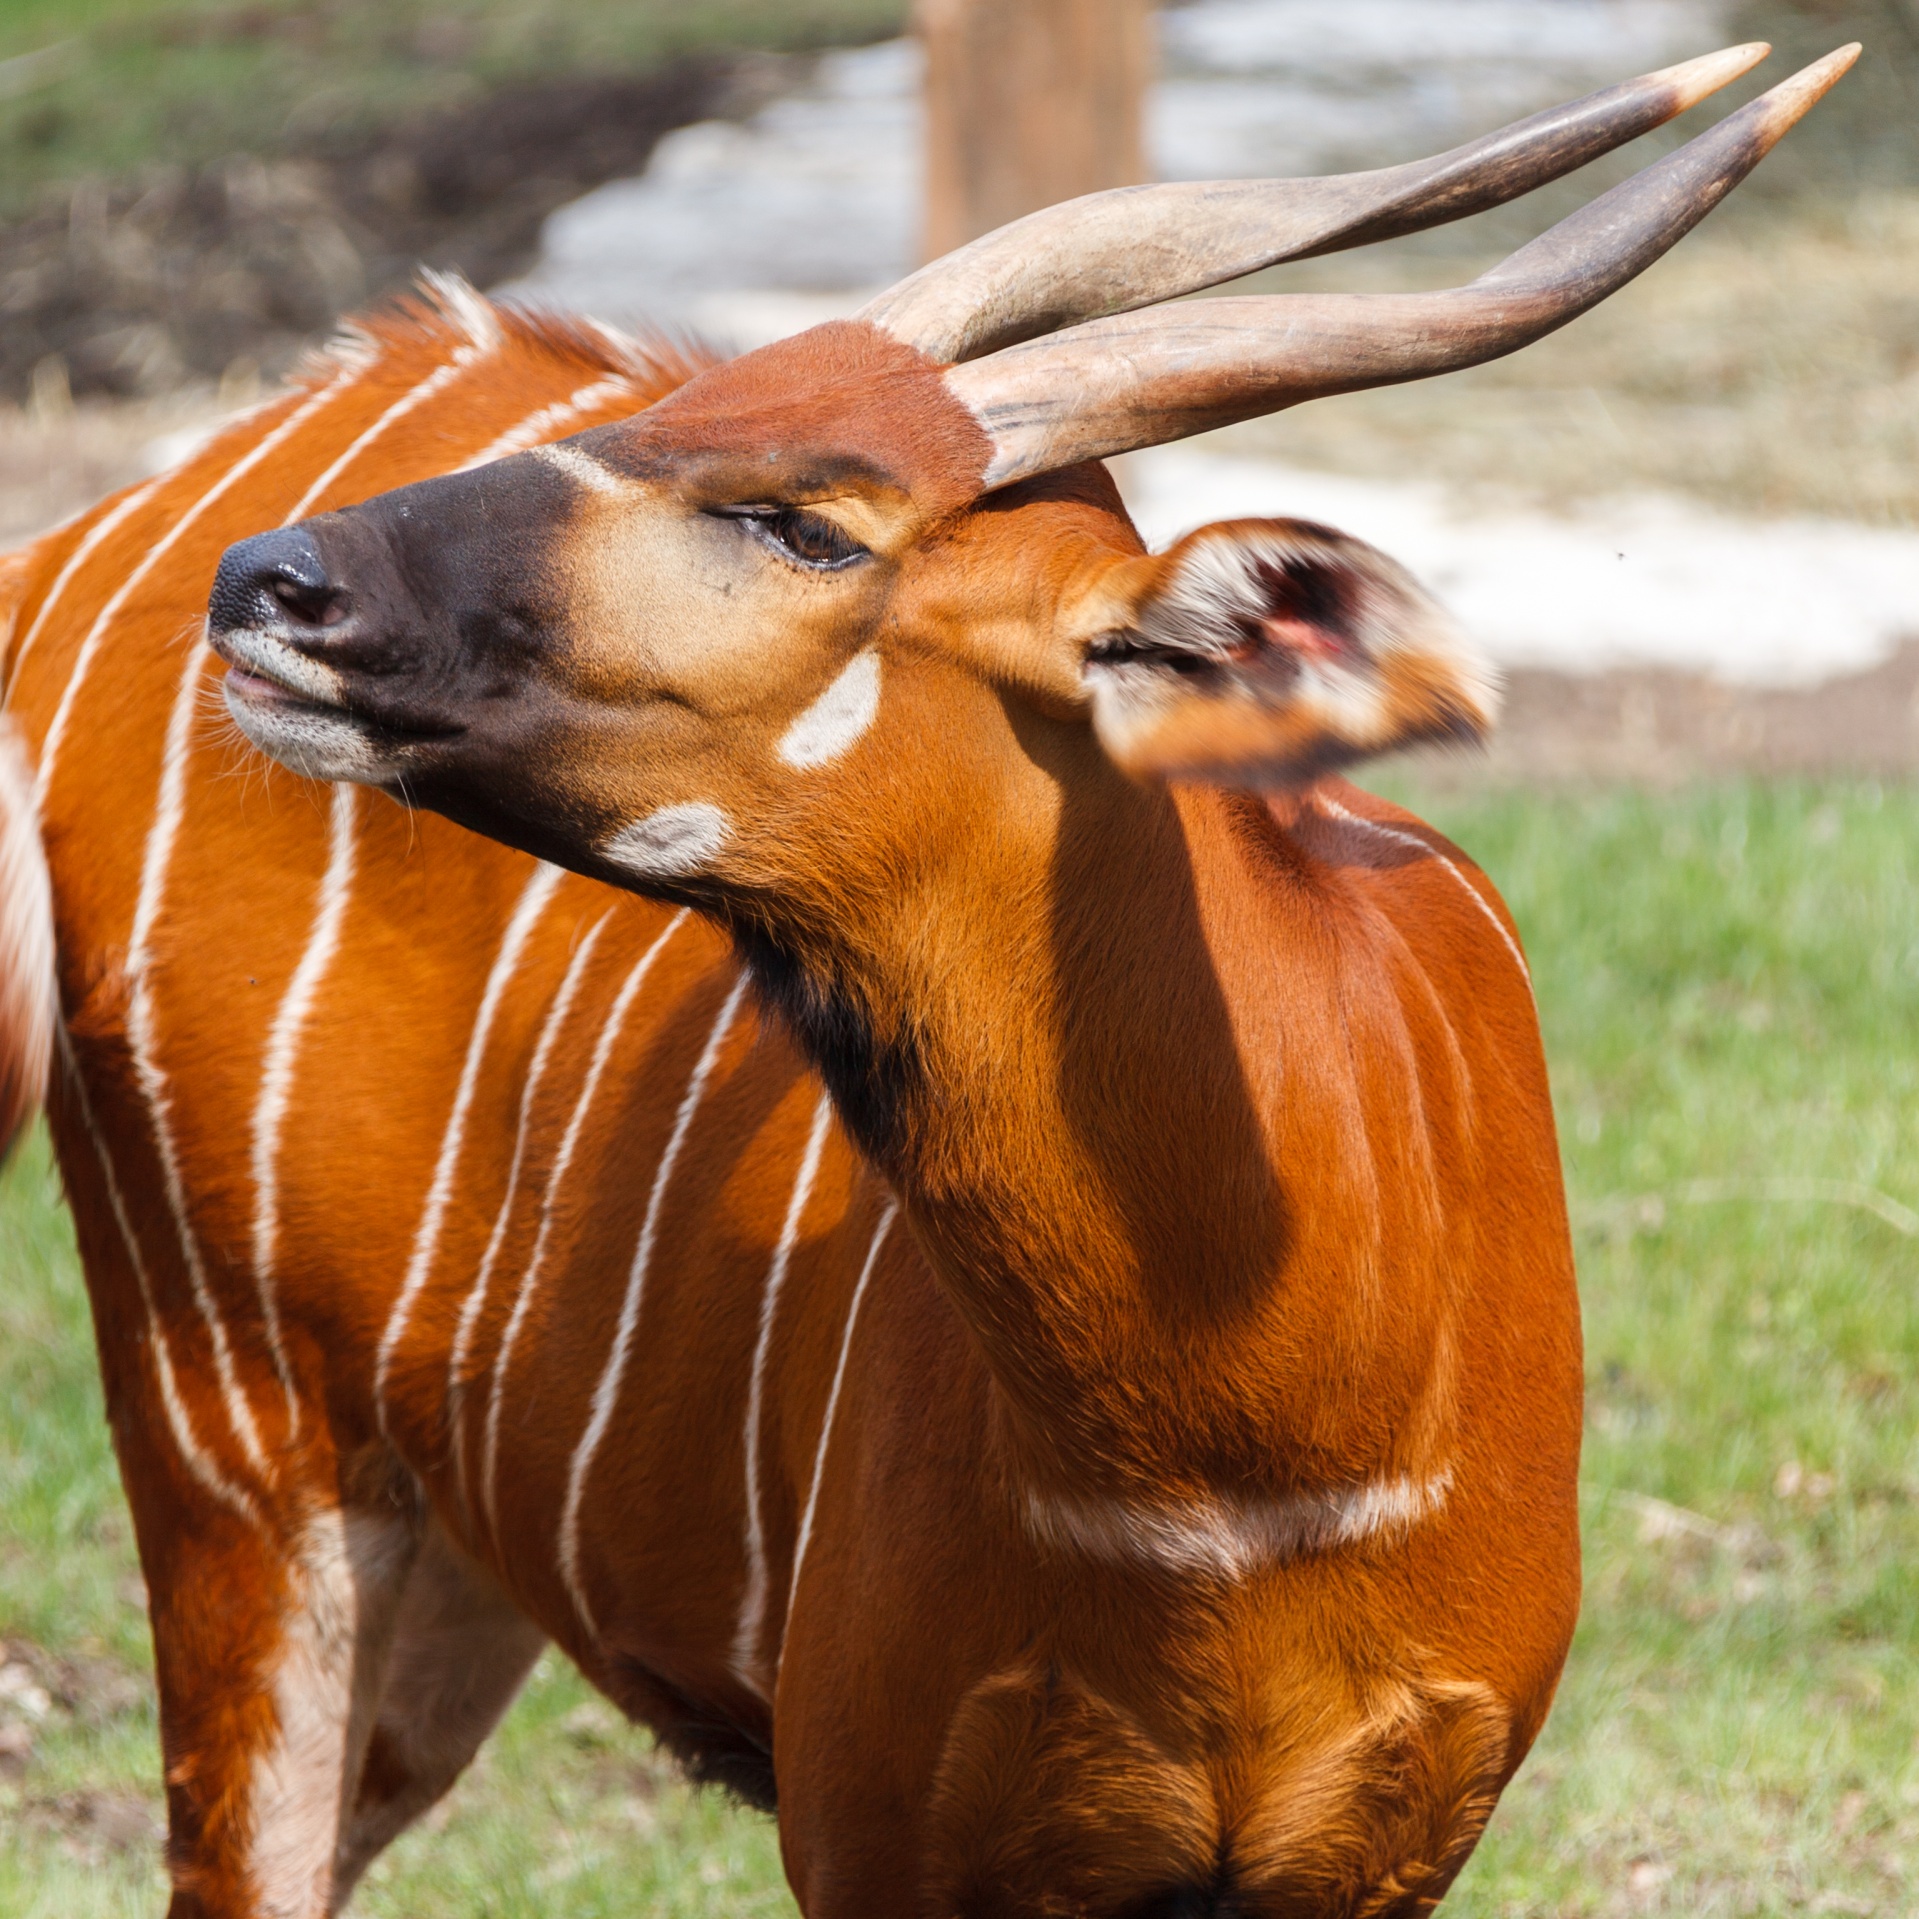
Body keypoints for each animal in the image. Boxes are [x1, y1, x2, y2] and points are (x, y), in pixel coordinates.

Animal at [3, 45, 1857, 1919]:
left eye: (802, 520)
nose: (271, 581)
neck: (1240, 1450)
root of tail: (87, 538)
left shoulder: (1377, 1855)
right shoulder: (873, 1829)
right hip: (237, 1447)